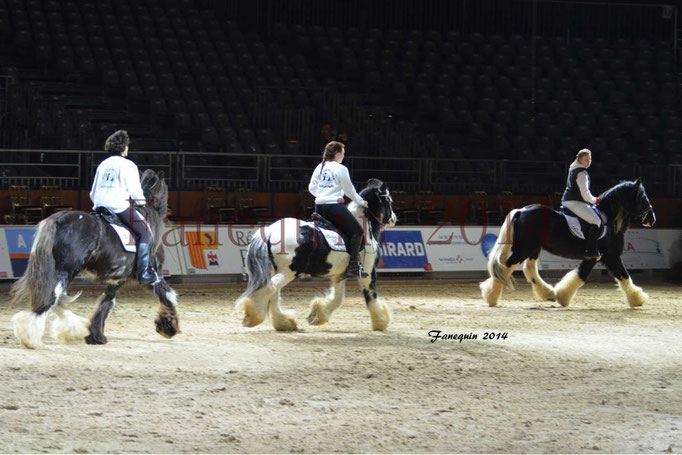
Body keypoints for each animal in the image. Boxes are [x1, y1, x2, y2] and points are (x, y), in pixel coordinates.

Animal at [11, 170, 178, 350]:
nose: (170, 211)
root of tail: (58, 218)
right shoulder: (153, 275)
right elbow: (167, 294)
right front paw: (169, 327)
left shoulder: (117, 280)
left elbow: (106, 304)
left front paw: (96, 336)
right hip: (66, 271)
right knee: (51, 299)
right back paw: (33, 338)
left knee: (58, 300)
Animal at [235, 180, 396, 334]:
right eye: (389, 200)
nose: (394, 218)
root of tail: (270, 230)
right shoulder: (367, 273)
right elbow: (371, 296)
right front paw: (381, 321)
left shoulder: (339, 275)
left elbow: (338, 299)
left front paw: (317, 315)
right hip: (288, 271)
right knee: (269, 288)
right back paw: (254, 317)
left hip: (276, 270)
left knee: (273, 293)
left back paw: (284, 323)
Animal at [478, 180, 652, 308]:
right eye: (643, 197)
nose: (652, 219)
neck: (610, 219)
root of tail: (521, 211)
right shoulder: (611, 256)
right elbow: (624, 275)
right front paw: (638, 298)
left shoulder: (593, 258)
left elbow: (580, 276)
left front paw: (562, 296)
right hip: (524, 249)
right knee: (505, 268)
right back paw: (492, 297)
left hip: (533, 248)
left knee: (529, 269)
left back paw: (548, 294)